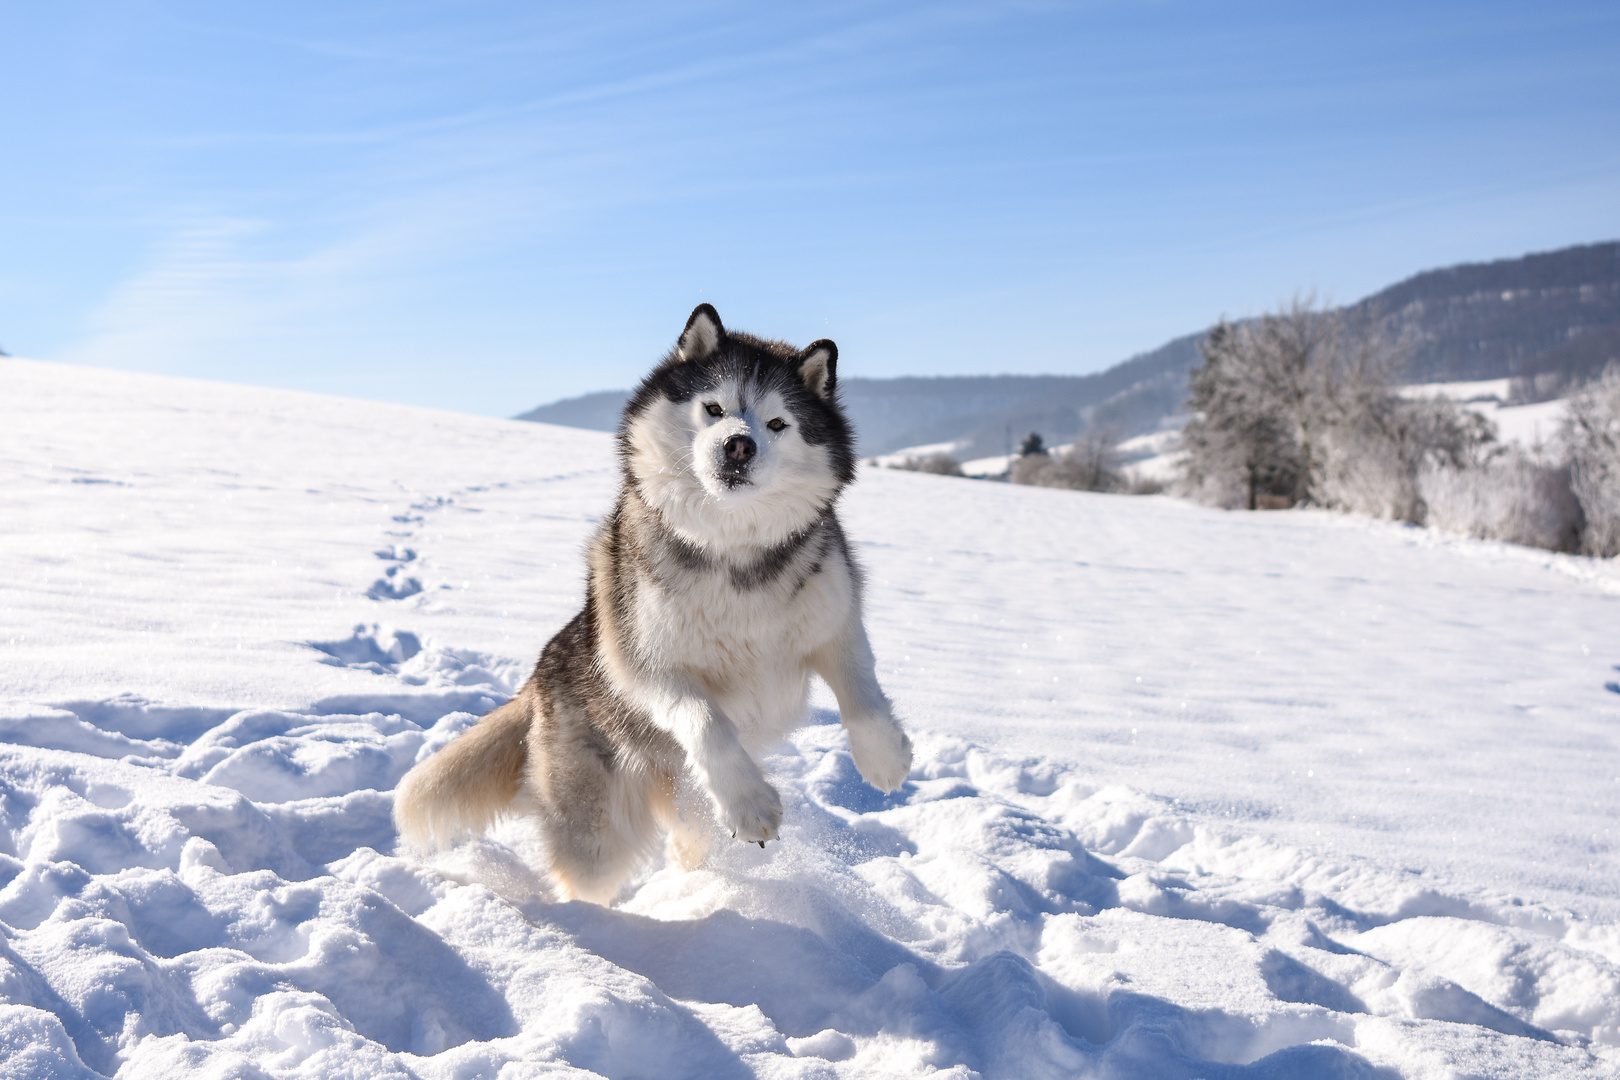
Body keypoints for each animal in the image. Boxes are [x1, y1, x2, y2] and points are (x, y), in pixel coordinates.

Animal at [393, 304, 913, 906]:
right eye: (714, 409)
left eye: (778, 423)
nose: (739, 445)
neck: (730, 551)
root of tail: (536, 681)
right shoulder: (648, 665)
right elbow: (707, 722)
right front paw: (750, 803)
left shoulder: (834, 619)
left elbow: (862, 690)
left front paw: (884, 759)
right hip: (598, 823)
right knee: (587, 875)